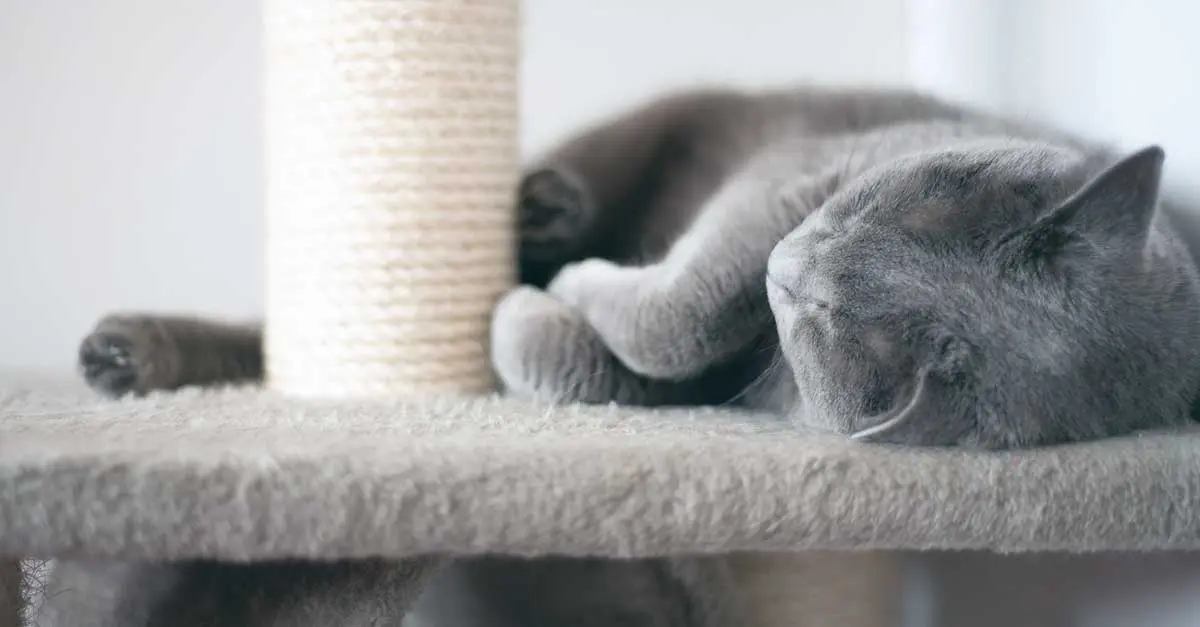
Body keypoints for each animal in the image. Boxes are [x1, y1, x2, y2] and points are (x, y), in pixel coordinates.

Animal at [77, 85, 1200, 449]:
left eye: (832, 330)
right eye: (916, 192)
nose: (796, 267)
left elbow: (622, 359)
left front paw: (531, 312)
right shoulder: (790, 175)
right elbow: (689, 303)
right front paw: (564, 283)